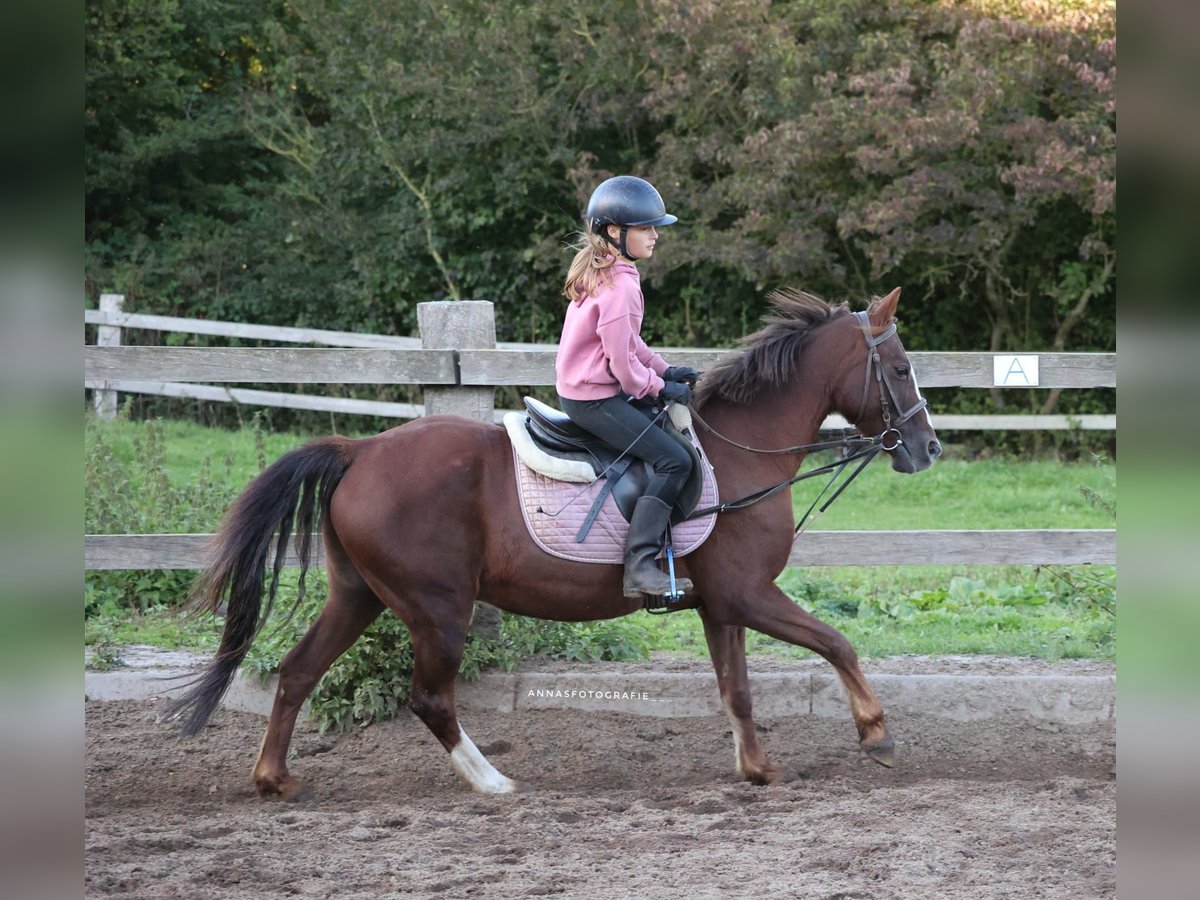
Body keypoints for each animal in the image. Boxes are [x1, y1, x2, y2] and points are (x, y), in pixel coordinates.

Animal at [166, 286, 936, 796]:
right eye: (900, 369)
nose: (926, 449)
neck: (742, 450)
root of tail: (360, 450)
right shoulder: (749, 594)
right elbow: (837, 643)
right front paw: (877, 734)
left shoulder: (721, 604)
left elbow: (737, 689)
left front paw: (758, 768)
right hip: (437, 609)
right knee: (430, 699)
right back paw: (492, 781)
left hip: (359, 596)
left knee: (298, 673)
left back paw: (274, 779)